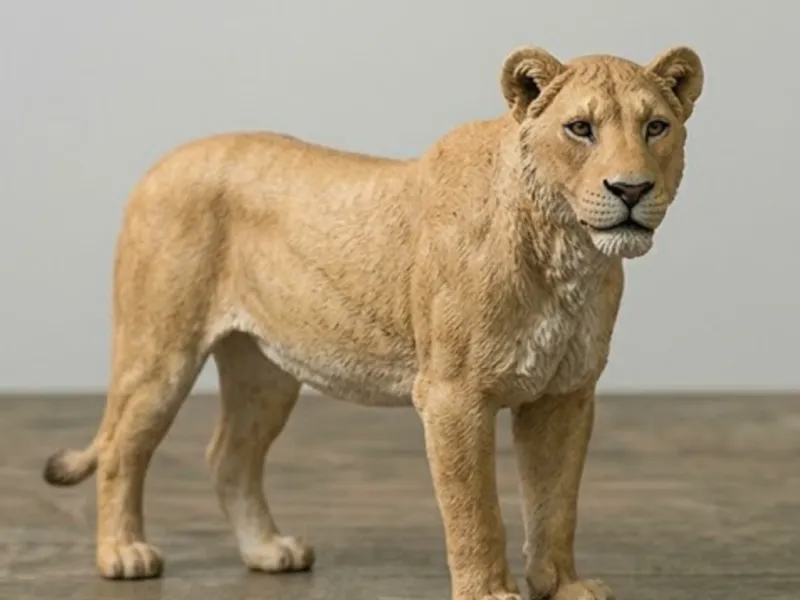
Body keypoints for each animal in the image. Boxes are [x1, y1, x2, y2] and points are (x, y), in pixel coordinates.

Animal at [43, 45, 703, 600]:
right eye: (580, 128)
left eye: (655, 127)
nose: (630, 188)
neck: (568, 253)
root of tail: (161, 164)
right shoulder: (453, 396)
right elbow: (475, 509)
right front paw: (490, 593)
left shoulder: (565, 394)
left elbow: (556, 501)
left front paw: (564, 586)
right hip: (161, 351)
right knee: (123, 449)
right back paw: (124, 554)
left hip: (264, 372)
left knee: (227, 455)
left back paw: (268, 550)